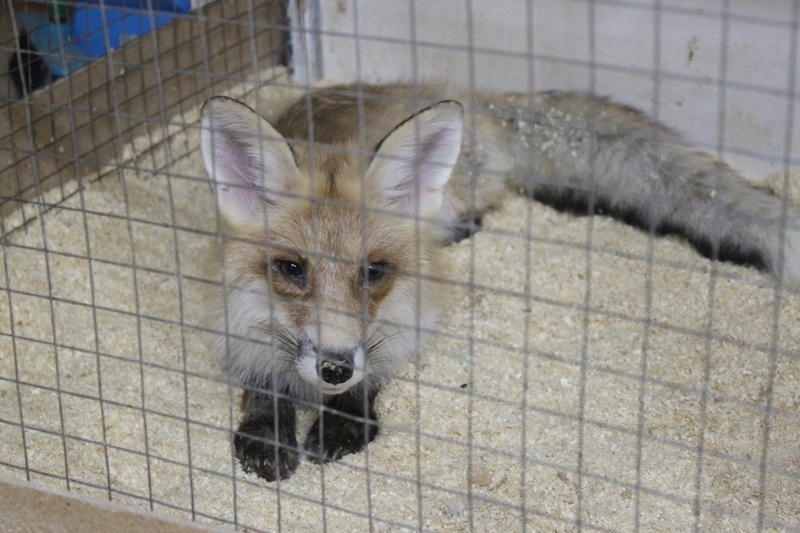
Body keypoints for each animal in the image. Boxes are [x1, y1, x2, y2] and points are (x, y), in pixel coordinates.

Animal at [198, 83, 792, 482]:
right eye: (291, 269)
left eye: (374, 272)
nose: (335, 368)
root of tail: (470, 93)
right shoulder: (233, 319)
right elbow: (260, 384)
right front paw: (267, 432)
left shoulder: (414, 312)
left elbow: (377, 368)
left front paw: (344, 421)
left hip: (451, 202)